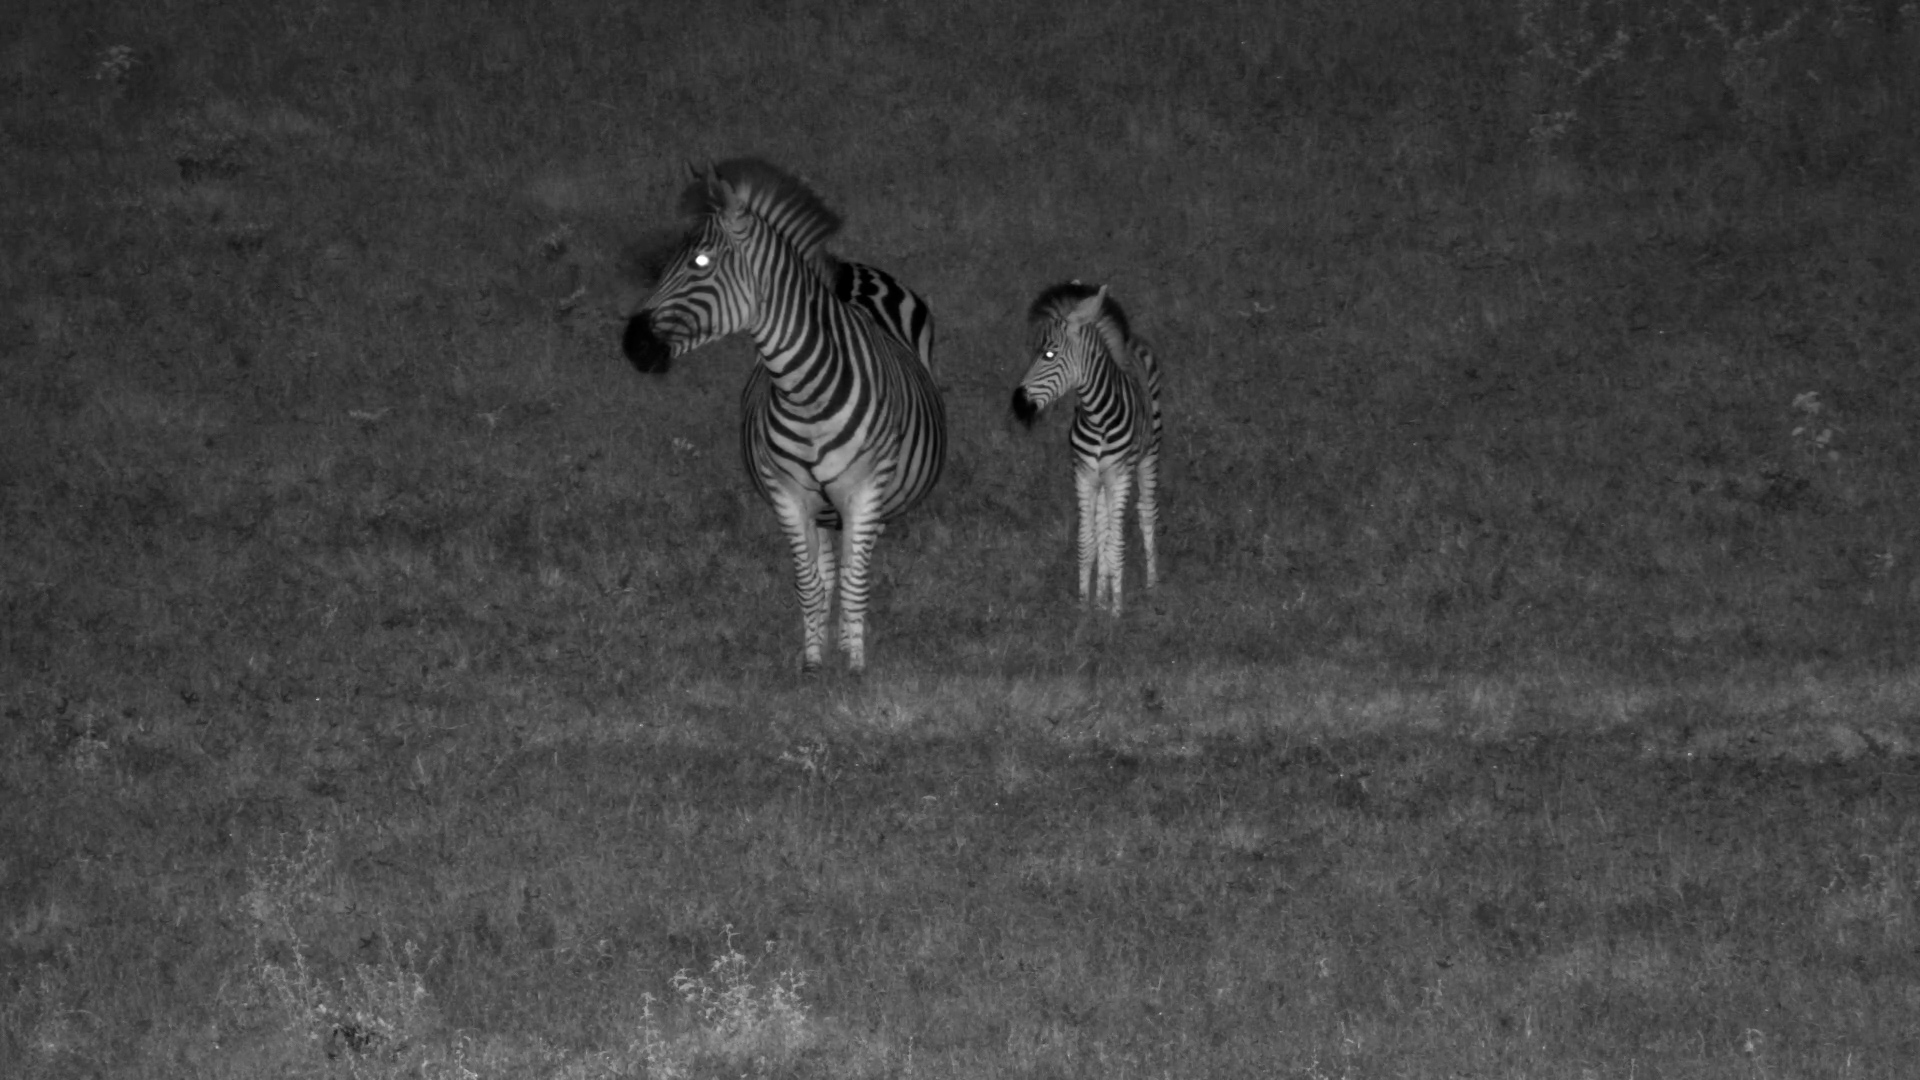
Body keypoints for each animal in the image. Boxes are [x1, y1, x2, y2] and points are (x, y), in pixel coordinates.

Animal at [623, 159, 946, 674]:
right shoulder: (788, 495)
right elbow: (810, 583)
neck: (805, 392)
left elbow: (855, 585)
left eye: (700, 263)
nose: (631, 345)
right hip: (824, 508)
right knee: (829, 567)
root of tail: (850, 271)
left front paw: (855, 666)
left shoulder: (864, 491)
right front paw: (814, 663)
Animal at [1012, 282, 1163, 616]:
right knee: (1103, 524)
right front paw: (1086, 605)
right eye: (1035, 353)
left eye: (1049, 354)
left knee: (1146, 513)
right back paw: (1102, 595)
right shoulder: (1083, 474)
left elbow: (1115, 543)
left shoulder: (1119, 475)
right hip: (1101, 478)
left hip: (1149, 455)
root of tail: (1134, 340)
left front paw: (1116, 612)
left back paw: (1152, 585)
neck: (1098, 417)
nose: (1017, 405)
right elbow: (1088, 540)